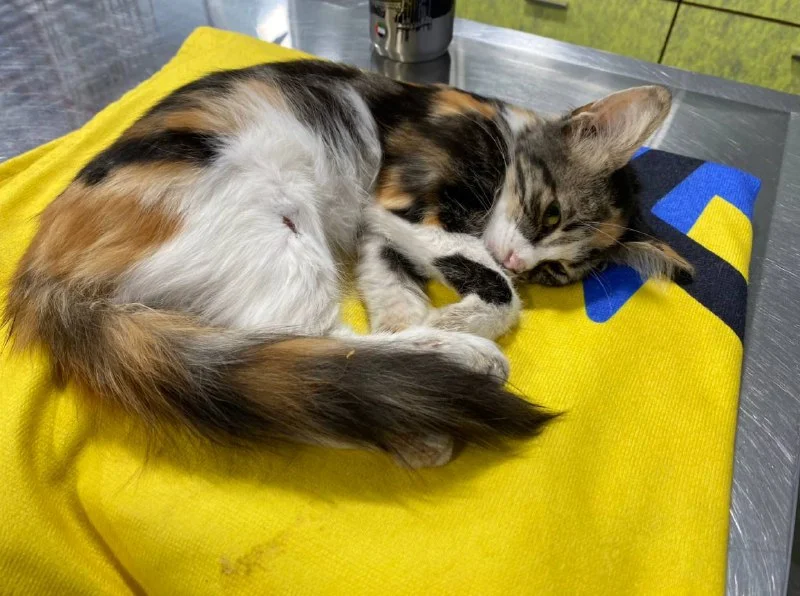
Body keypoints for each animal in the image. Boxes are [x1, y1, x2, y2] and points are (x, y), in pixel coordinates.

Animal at [4, 60, 691, 469]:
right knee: (303, 343)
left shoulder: (381, 232)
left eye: (556, 273)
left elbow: (400, 286)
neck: (500, 128)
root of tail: (44, 272)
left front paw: (421, 319)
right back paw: (461, 364)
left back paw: (420, 409)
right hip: (271, 224)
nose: (521, 258)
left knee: (317, 355)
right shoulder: (405, 203)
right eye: (546, 215)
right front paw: (456, 322)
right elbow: (497, 292)